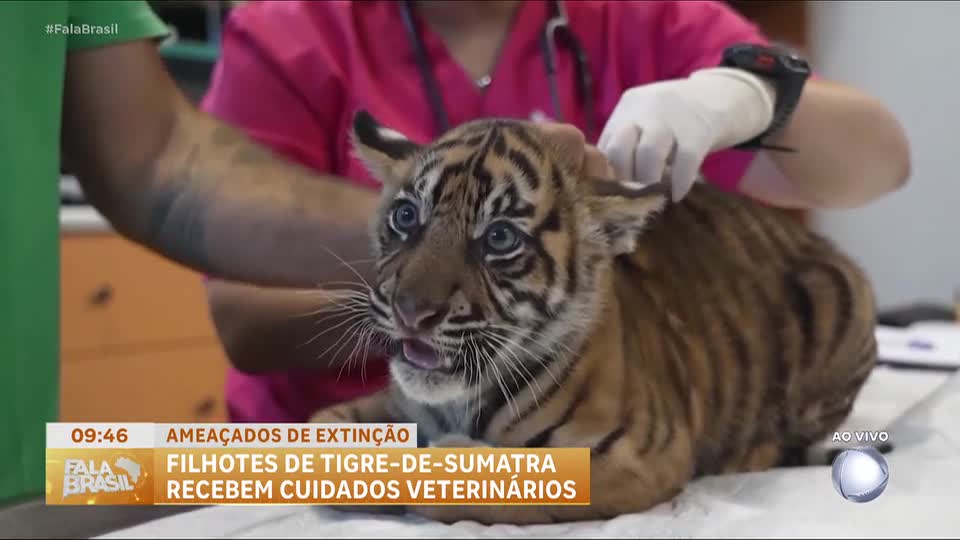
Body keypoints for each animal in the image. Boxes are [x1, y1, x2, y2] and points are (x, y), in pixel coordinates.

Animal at [306, 109, 881, 525]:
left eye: (499, 238)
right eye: (406, 217)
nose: (411, 311)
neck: (459, 400)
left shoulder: (632, 455)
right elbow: (320, 429)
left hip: (844, 299)